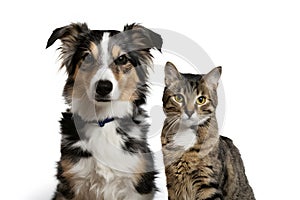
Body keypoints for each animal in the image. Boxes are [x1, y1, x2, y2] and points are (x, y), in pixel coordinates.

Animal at [46, 22, 162, 199]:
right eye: (87, 57)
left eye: (122, 59)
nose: (103, 87)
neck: (103, 120)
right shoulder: (71, 183)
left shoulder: (137, 186)